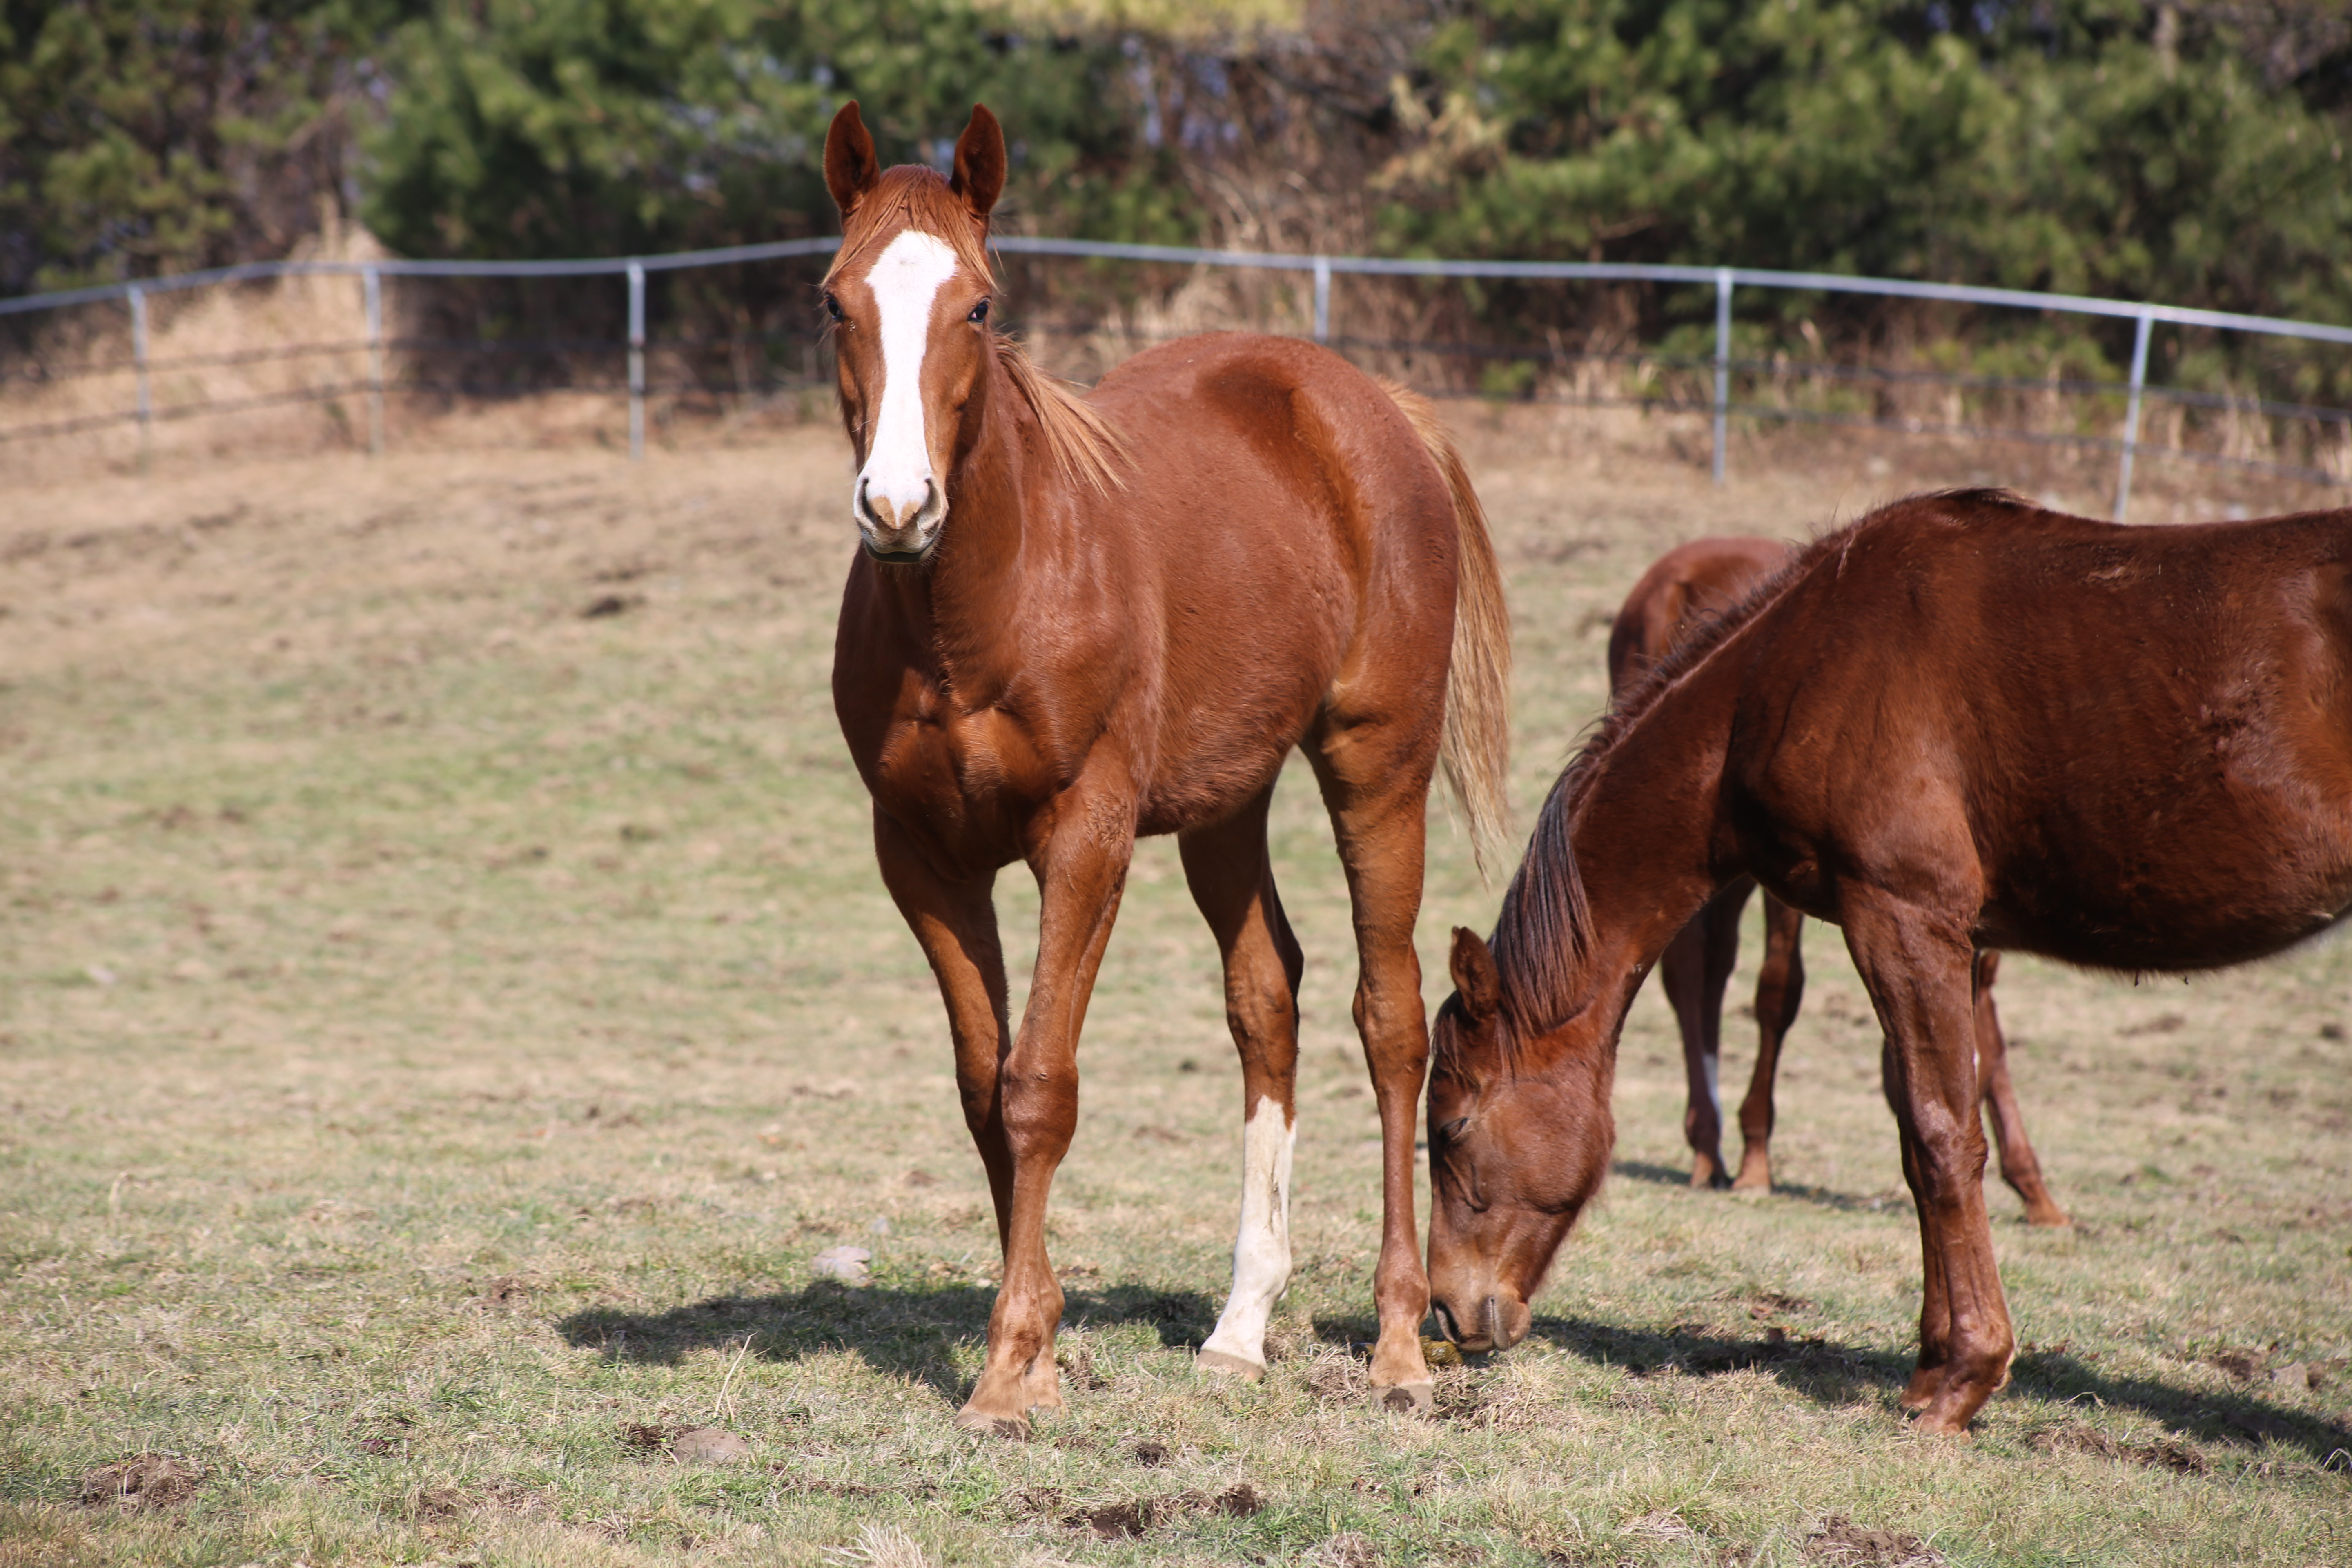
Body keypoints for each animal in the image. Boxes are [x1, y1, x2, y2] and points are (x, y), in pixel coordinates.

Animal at [818, 104, 1515, 1439]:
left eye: (978, 305)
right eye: (834, 301)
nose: (898, 505)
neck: (985, 607)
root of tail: (1372, 408)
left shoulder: (1083, 838)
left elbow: (1039, 1083)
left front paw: (1007, 1368)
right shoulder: (919, 858)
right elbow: (985, 1087)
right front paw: (1036, 1347)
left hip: (1375, 767)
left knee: (1391, 1021)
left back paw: (1399, 1343)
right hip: (1223, 807)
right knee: (1268, 1001)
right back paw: (1240, 1327)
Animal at [1608, 541, 2069, 1222]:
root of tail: (1682, 577)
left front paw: (2035, 1189)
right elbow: (1779, 991)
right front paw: (1756, 1161)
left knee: (1703, 965)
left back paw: (1706, 1143)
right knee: (1697, 969)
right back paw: (1715, 1148)